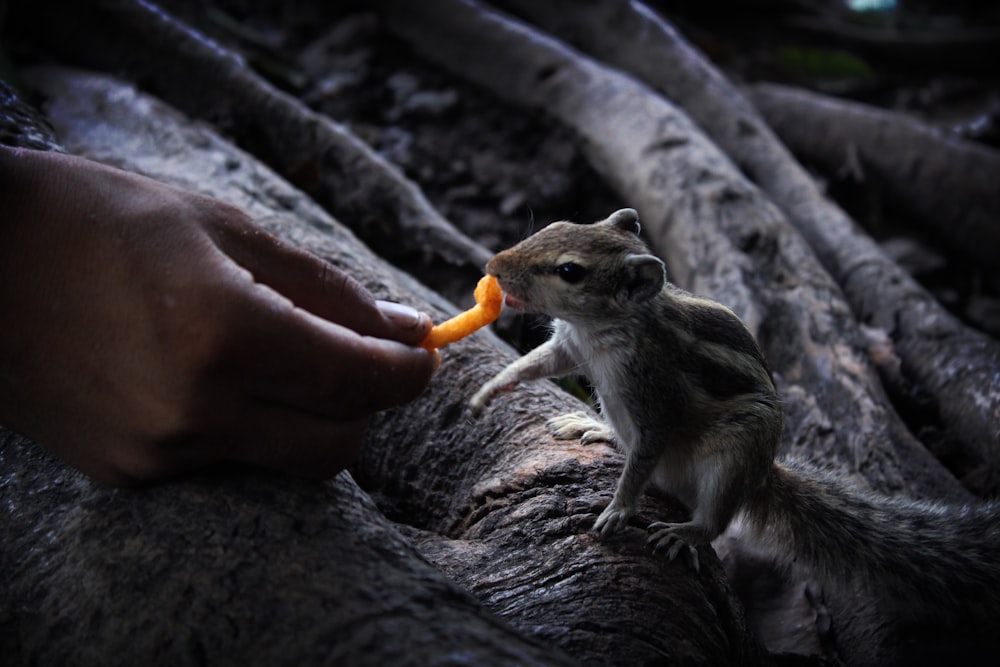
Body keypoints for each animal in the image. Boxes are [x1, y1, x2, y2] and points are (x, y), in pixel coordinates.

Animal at [468, 209, 1000, 628]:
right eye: (554, 225)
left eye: (570, 271)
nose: (492, 267)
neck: (605, 327)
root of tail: (762, 477)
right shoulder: (570, 344)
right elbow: (540, 362)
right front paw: (491, 389)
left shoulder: (655, 397)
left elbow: (643, 456)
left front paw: (618, 509)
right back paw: (595, 427)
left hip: (737, 449)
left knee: (716, 518)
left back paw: (687, 531)